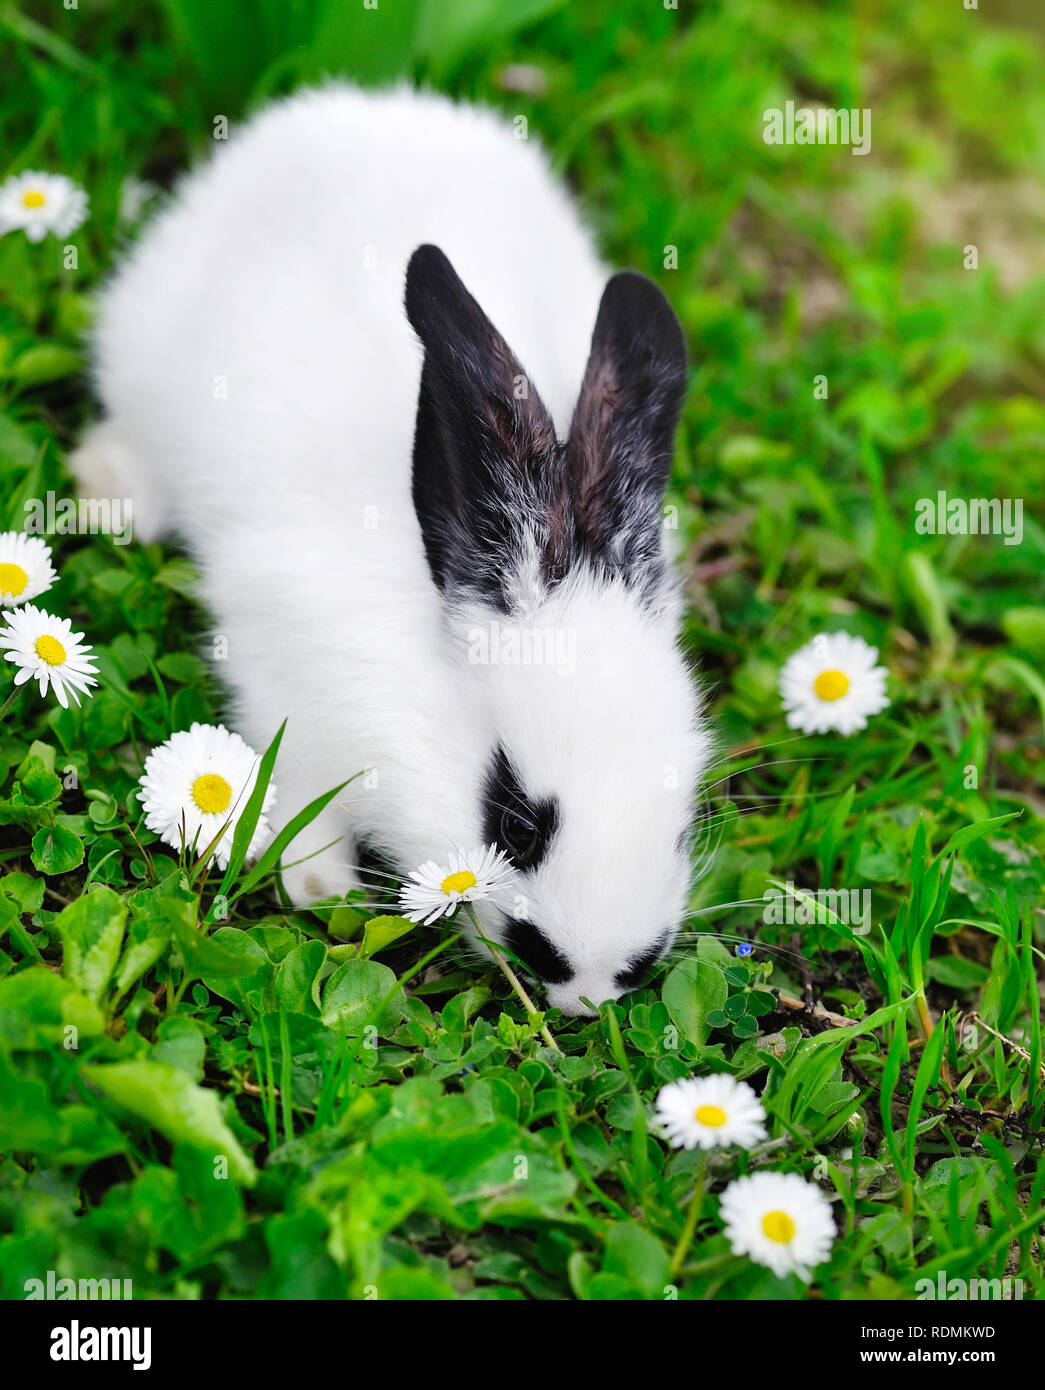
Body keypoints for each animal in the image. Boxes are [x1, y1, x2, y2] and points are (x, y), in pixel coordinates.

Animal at [72, 84, 712, 1016]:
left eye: (681, 820)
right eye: (515, 823)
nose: (586, 988)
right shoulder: (279, 684)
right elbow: (302, 793)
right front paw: (319, 887)